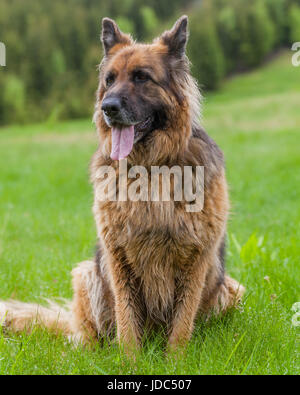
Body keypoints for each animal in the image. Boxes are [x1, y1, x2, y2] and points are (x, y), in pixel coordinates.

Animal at [0, 17, 244, 354]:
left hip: (232, 289)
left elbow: (182, 325)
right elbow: (127, 321)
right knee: (89, 335)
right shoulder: (118, 256)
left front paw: (176, 360)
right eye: (110, 79)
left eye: (142, 78)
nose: (108, 107)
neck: (150, 170)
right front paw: (131, 360)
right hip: (87, 274)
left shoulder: (196, 258)